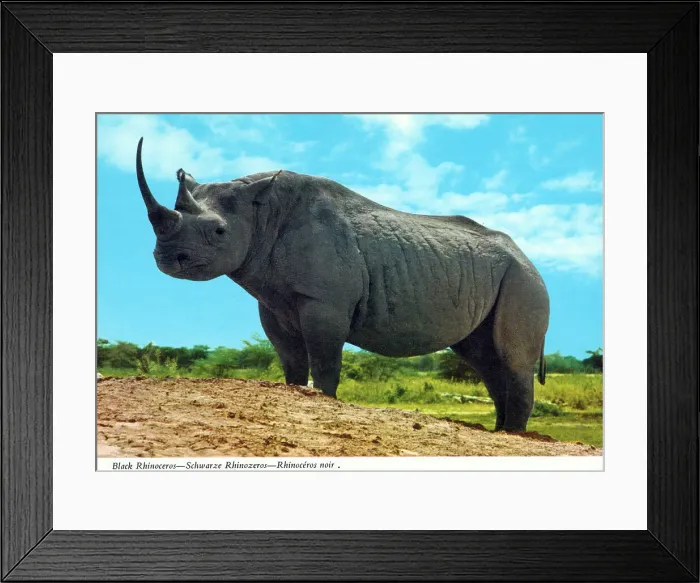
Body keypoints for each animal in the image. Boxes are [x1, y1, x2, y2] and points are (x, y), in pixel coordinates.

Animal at [136, 137, 550, 431]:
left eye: (220, 232)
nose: (169, 259)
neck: (261, 214)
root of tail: (527, 256)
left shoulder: (324, 302)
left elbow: (324, 361)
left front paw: (324, 401)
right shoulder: (272, 302)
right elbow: (291, 360)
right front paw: (295, 393)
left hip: (523, 279)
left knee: (510, 357)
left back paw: (512, 435)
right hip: (500, 275)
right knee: (483, 356)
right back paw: (499, 431)